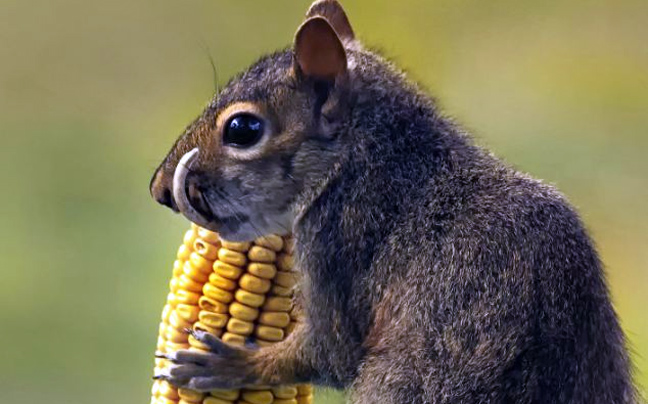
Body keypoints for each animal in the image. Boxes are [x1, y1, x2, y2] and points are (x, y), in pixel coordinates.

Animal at [149, 1, 636, 402]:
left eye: (243, 129)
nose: (160, 189)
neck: (377, 157)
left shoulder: (335, 241)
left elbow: (334, 351)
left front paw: (233, 365)